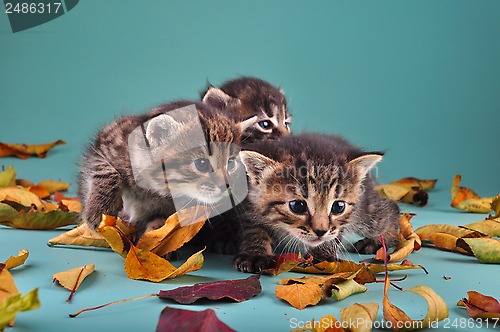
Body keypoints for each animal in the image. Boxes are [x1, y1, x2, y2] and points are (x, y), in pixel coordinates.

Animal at [78, 101, 254, 233]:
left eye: (231, 163)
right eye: (201, 164)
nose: (227, 185)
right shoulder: (104, 144)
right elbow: (105, 170)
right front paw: (98, 212)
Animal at [232, 134, 400, 274]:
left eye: (338, 207)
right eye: (297, 206)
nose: (320, 231)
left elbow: (335, 232)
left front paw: (322, 254)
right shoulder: (248, 206)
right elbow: (254, 229)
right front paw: (254, 253)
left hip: (366, 209)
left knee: (391, 210)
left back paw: (377, 241)